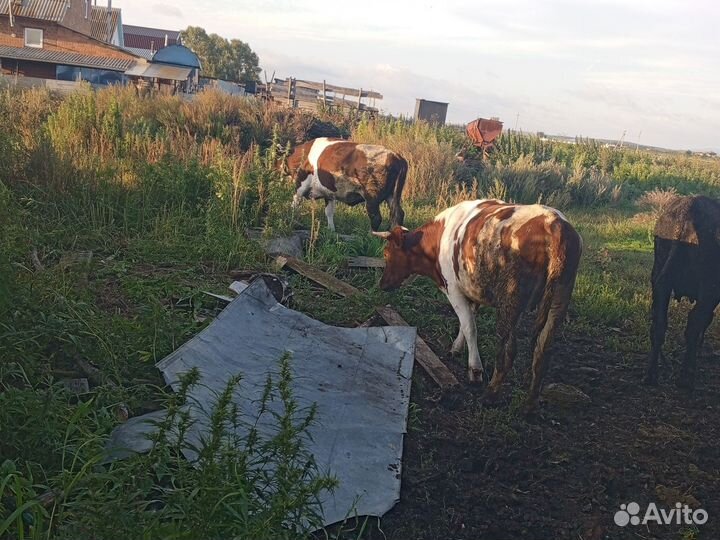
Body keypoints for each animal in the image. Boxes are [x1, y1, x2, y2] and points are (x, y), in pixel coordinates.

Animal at [373, 199, 582, 411]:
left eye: (386, 253)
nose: (381, 284)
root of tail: (554, 223)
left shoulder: (453, 289)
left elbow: (469, 327)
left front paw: (475, 369)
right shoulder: (471, 288)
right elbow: (467, 321)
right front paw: (456, 348)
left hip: (510, 300)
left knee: (509, 350)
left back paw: (491, 394)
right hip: (560, 298)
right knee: (543, 349)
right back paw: (529, 404)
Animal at [645, 195, 720, 390]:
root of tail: (687, 214)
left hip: (659, 275)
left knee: (658, 323)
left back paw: (652, 374)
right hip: (709, 287)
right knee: (694, 323)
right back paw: (687, 376)